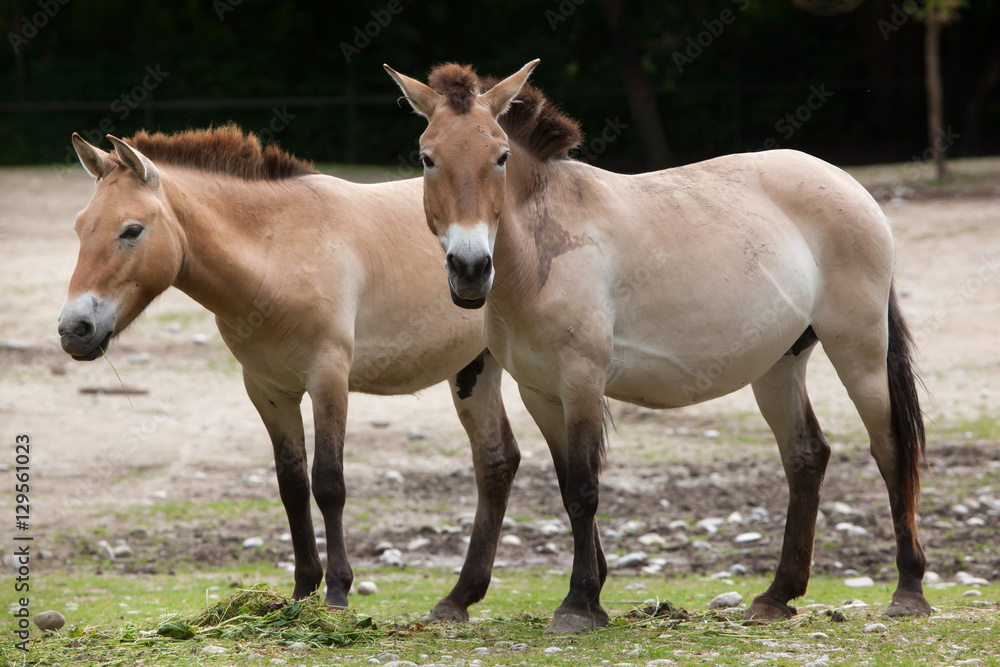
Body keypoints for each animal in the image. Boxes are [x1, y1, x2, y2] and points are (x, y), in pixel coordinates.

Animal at [60, 125, 524, 620]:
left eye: (131, 230)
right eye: (80, 227)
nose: (73, 329)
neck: (277, 250)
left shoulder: (328, 380)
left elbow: (329, 483)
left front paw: (338, 591)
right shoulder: (269, 391)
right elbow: (293, 486)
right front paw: (302, 591)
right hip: (475, 369)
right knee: (497, 462)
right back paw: (460, 597)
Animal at [386, 60, 932, 636]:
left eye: (501, 156)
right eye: (427, 158)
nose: (469, 269)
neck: (543, 252)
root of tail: (851, 187)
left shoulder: (581, 380)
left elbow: (583, 489)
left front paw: (578, 604)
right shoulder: (541, 392)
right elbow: (566, 484)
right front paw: (592, 596)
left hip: (859, 349)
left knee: (891, 447)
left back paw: (908, 590)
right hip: (779, 365)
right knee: (806, 456)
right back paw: (777, 595)